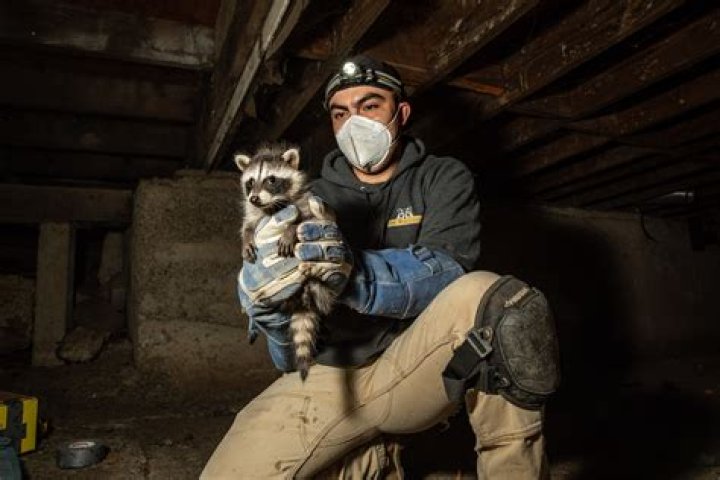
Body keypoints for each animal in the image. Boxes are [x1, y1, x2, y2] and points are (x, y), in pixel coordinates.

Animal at [234, 143, 338, 381]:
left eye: (271, 180)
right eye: (250, 182)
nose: (254, 198)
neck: (272, 207)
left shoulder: (305, 202)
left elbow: (304, 219)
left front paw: (290, 230)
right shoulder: (254, 213)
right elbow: (248, 225)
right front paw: (247, 239)